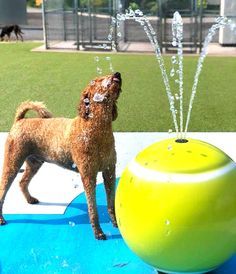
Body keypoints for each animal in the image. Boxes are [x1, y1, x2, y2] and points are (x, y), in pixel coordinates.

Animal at [0, 71, 121, 239]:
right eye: (97, 80)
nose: (117, 73)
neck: (94, 128)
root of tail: (20, 120)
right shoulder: (88, 174)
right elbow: (93, 208)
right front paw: (98, 232)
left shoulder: (109, 170)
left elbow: (111, 203)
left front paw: (116, 223)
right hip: (12, 162)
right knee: (3, 189)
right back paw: (1, 218)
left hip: (34, 162)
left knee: (23, 181)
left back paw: (30, 199)